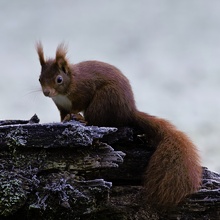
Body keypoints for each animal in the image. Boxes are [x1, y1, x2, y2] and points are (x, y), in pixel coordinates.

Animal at [36, 41, 203, 208]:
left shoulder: (84, 89)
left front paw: (75, 115)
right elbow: (63, 115)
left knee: (98, 119)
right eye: (39, 78)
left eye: (59, 79)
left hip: (104, 100)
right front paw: (63, 120)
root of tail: (129, 111)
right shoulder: (61, 105)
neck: (66, 89)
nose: (46, 92)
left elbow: (79, 105)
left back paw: (85, 120)